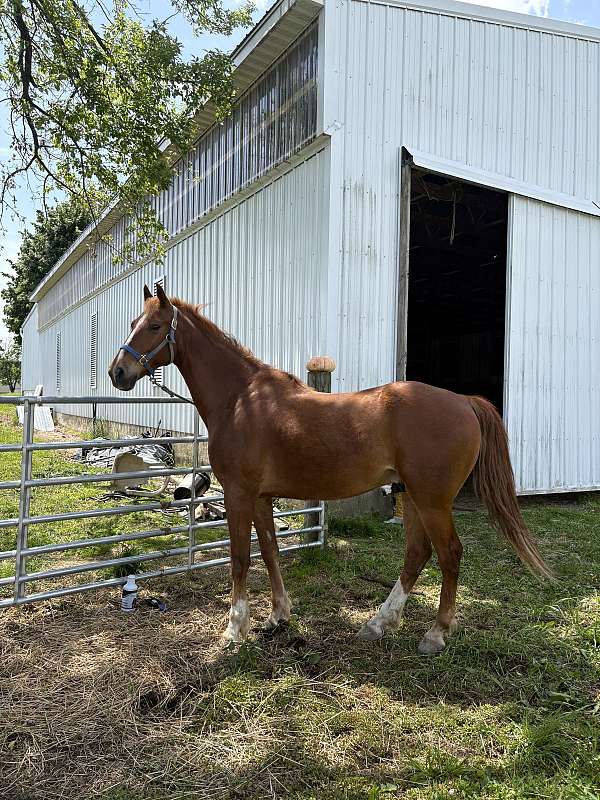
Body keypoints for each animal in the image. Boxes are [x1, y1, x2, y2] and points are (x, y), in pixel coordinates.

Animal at [109, 285, 550, 653]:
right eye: (131, 324)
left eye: (154, 326)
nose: (118, 372)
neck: (240, 400)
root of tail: (464, 401)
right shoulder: (261, 498)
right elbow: (269, 552)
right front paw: (278, 616)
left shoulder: (238, 494)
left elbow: (240, 558)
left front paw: (234, 629)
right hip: (413, 497)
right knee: (416, 554)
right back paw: (378, 624)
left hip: (433, 501)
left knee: (449, 554)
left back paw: (435, 634)